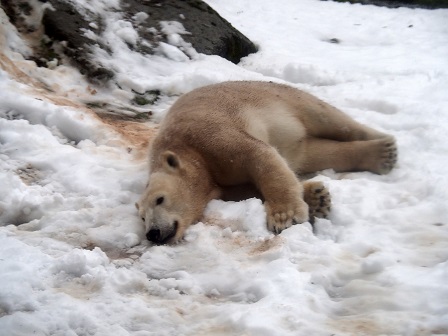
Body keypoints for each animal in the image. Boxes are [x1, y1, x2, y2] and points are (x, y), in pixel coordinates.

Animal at [136, 81, 396, 244]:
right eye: (142, 217)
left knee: (331, 119)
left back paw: (384, 147)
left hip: (287, 98)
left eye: (160, 199)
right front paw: (317, 197)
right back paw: (378, 155)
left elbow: (259, 156)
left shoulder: (210, 137)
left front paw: (285, 217)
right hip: (296, 137)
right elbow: (249, 187)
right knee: (318, 152)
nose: (153, 233)